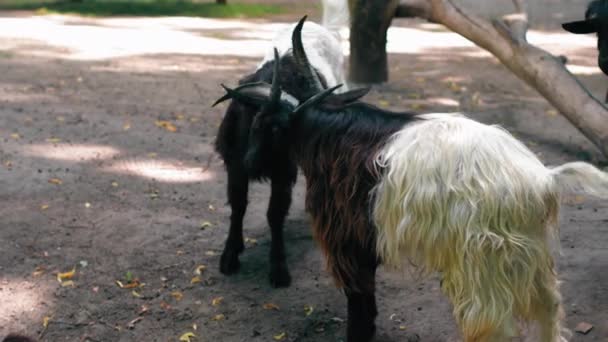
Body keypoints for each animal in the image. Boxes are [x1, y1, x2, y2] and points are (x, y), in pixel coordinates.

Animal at [213, 52, 608, 340]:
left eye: (265, 124)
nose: (247, 163)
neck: (323, 131)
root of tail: (544, 180)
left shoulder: (345, 236)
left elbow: (357, 298)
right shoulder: (367, 238)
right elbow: (367, 298)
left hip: (484, 262)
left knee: (496, 326)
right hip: (530, 256)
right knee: (549, 311)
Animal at [214, 15, 346, 288]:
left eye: (286, 134)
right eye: (257, 122)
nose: (255, 164)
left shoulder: (283, 171)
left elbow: (275, 213)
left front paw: (278, 269)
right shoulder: (235, 164)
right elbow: (238, 205)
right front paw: (230, 256)